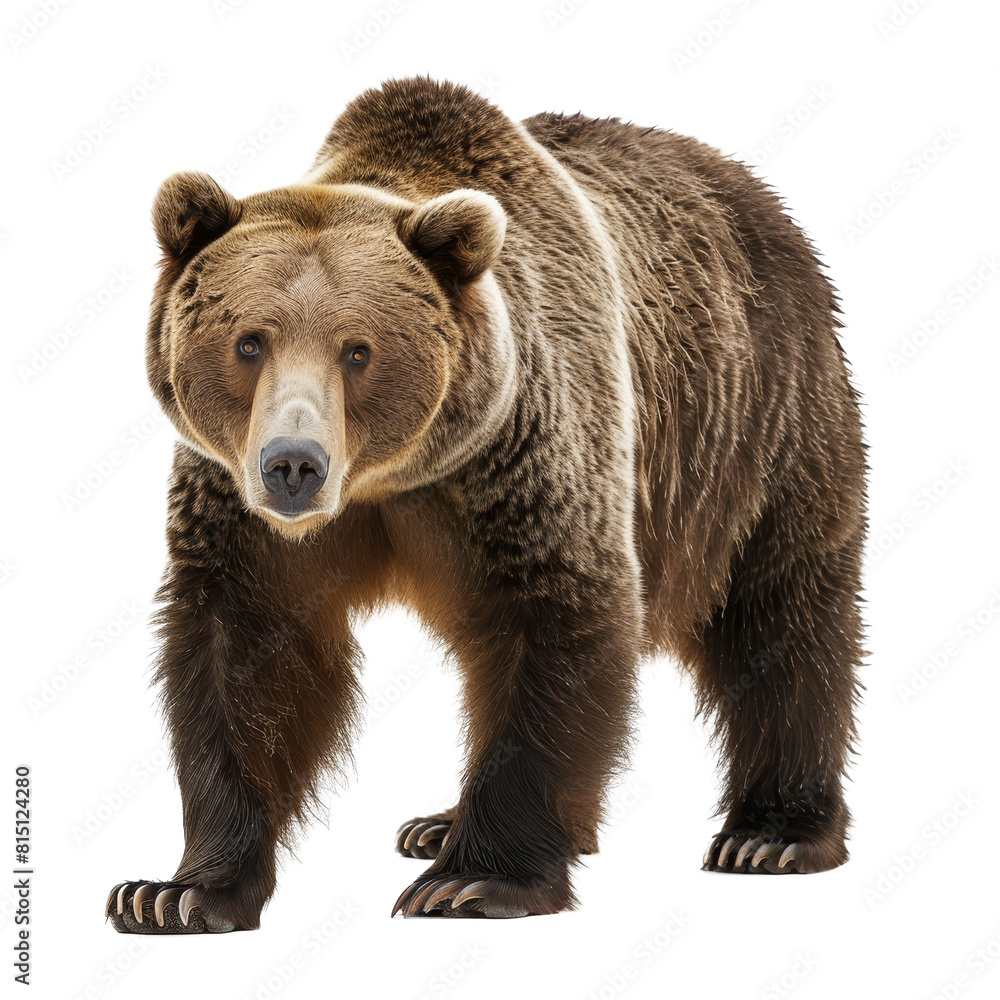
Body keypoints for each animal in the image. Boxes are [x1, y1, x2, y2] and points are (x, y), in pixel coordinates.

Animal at [106, 76, 866, 931]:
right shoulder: (243, 512)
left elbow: (558, 620)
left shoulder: (523, 461)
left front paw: (473, 881)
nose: (293, 466)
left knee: (781, 611)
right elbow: (248, 657)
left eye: (358, 349)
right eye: (248, 341)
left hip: (759, 416)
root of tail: (754, 189)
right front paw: (178, 891)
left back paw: (772, 833)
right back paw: (438, 822)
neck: (391, 479)